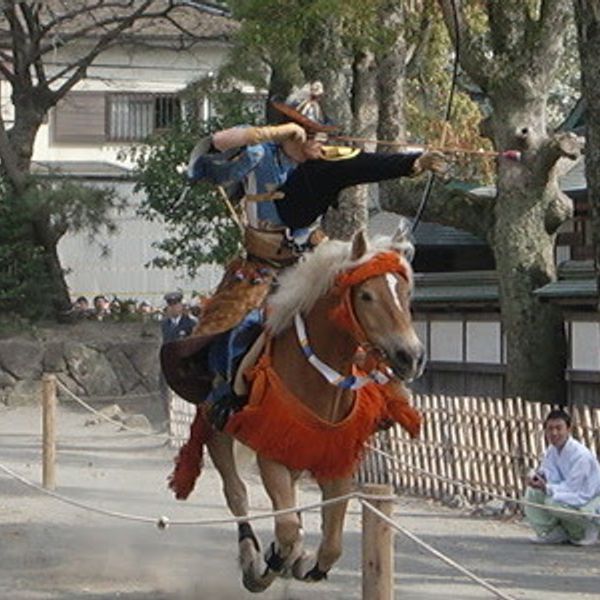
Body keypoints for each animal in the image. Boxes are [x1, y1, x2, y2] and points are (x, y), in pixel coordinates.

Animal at [185, 227, 424, 592]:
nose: (409, 356)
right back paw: (252, 559)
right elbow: (284, 529)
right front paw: (273, 562)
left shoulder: (335, 459)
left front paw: (305, 563)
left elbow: (332, 544)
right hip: (216, 430)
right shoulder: (272, 452)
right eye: (366, 295)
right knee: (237, 493)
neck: (317, 379)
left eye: (406, 293)